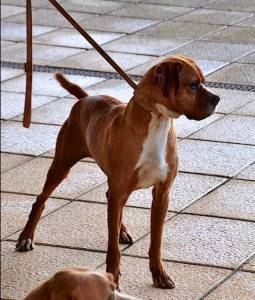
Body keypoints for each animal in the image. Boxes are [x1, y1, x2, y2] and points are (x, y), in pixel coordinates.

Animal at [16, 55, 219, 290]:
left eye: (203, 82)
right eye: (193, 84)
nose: (217, 99)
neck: (157, 122)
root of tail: (85, 99)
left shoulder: (161, 194)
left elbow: (156, 241)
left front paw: (159, 274)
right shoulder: (120, 189)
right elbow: (112, 247)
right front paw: (112, 277)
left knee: (110, 199)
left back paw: (122, 230)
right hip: (62, 165)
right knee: (40, 200)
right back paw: (26, 237)